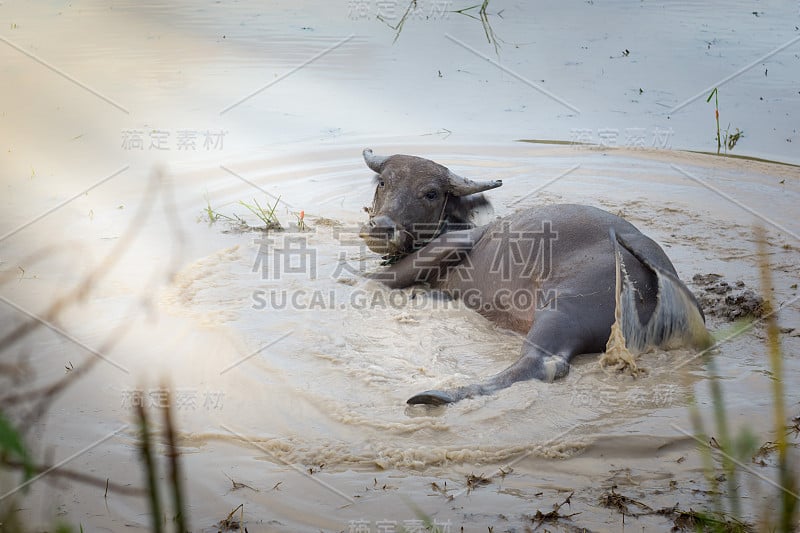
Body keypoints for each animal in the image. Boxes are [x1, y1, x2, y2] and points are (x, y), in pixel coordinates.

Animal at [360, 148, 708, 406]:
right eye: (384, 182)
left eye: (431, 193)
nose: (381, 227)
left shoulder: (452, 244)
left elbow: (379, 278)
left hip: (564, 310)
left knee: (543, 362)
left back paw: (441, 395)